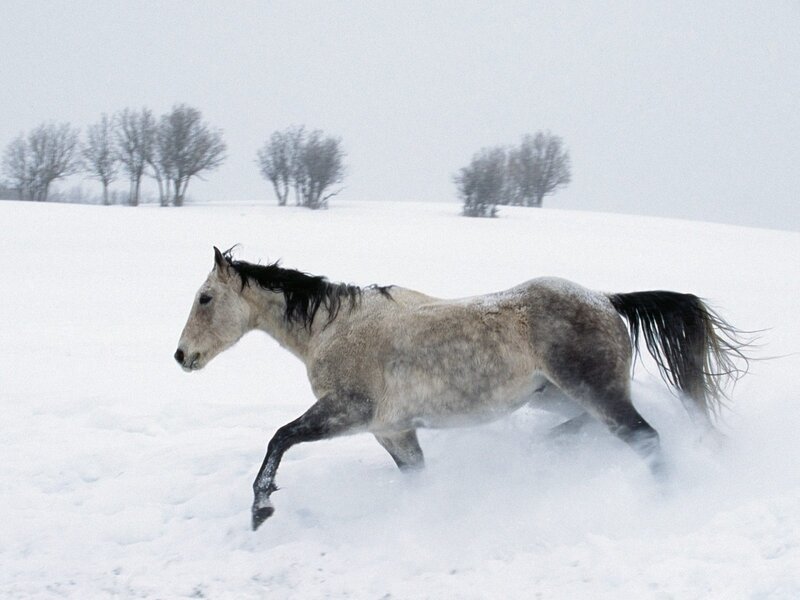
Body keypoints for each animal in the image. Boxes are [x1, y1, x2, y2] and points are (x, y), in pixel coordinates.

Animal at [174, 247, 750, 531]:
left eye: (205, 298)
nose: (181, 356)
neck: (334, 328)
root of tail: (606, 300)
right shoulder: (392, 430)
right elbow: (417, 477)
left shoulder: (348, 411)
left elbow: (280, 437)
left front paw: (260, 509)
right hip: (556, 395)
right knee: (592, 426)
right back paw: (548, 449)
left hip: (595, 391)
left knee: (646, 439)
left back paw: (664, 502)